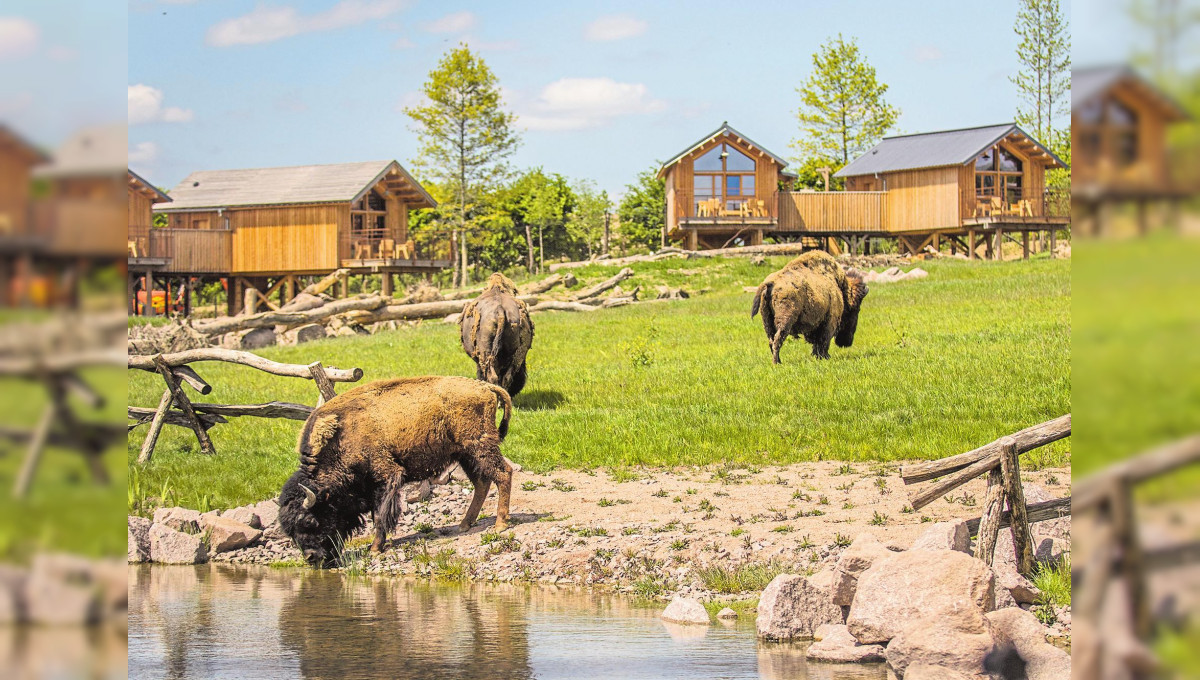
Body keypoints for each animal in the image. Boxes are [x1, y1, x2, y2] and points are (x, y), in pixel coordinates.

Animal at [278, 374, 513, 566]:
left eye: (309, 521)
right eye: (289, 531)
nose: (311, 558)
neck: (340, 438)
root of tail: (485, 386)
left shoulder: (387, 475)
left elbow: (381, 514)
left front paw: (374, 549)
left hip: (479, 447)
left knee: (503, 474)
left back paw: (500, 524)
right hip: (465, 455)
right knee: (482, 483)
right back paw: (464, 525)